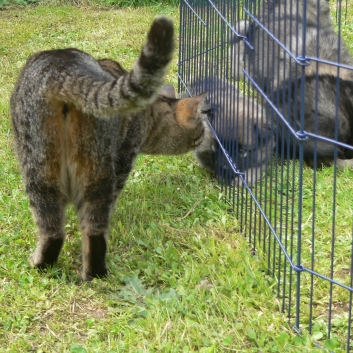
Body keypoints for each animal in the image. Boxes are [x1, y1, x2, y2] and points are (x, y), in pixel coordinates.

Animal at [11, 17, 206, 280]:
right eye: (202, 128)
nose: (206, 138)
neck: (149, 114)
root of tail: (62, 71)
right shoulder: (125, 156)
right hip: (84, 166)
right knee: (85, 229)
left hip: (54, 166)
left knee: (61, 230)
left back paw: (54, 267)